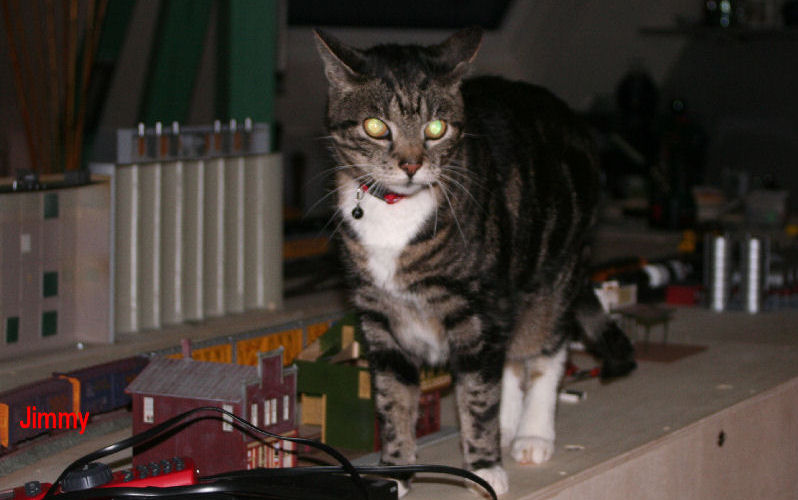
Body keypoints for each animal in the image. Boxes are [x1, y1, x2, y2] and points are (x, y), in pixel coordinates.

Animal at [314, 27, 636, 496]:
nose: (411, 164)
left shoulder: (476, 305)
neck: (396, 211)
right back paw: (509, 422)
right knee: (506, 359)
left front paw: (484, 466)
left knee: (542, 349)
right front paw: (396, 469)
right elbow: (394, 399)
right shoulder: (378, 316)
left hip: (554, 270)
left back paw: (532, 433)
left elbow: (478, 393)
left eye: (436, 128)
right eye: (375, 126)